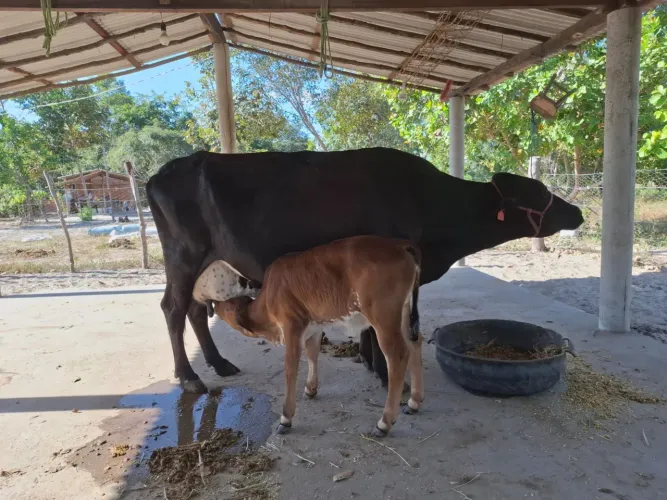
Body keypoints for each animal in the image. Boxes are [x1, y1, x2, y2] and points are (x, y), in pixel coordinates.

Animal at [146, 147, 584, 393]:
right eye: (540, 193)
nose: (578, 212)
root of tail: (163, 172)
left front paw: (372, 363)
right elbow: (382, 327)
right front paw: (387, 374)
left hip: (206, 265)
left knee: (196, 311)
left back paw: (219, 364)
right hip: (183, 256)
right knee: (173, 309)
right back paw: (190, 376)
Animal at [214, 235, 423, 436]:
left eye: (228, 306)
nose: (214, 305)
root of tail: (399, 244)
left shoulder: (292, 325)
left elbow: (290, 368)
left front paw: (286, 417)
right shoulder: (313, 324)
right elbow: (312, 353)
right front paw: (310, 389)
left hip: (383, 317)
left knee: (398, 355)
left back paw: (384, 423)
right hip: (403, 312)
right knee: (415, 342)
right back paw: (414, 402)